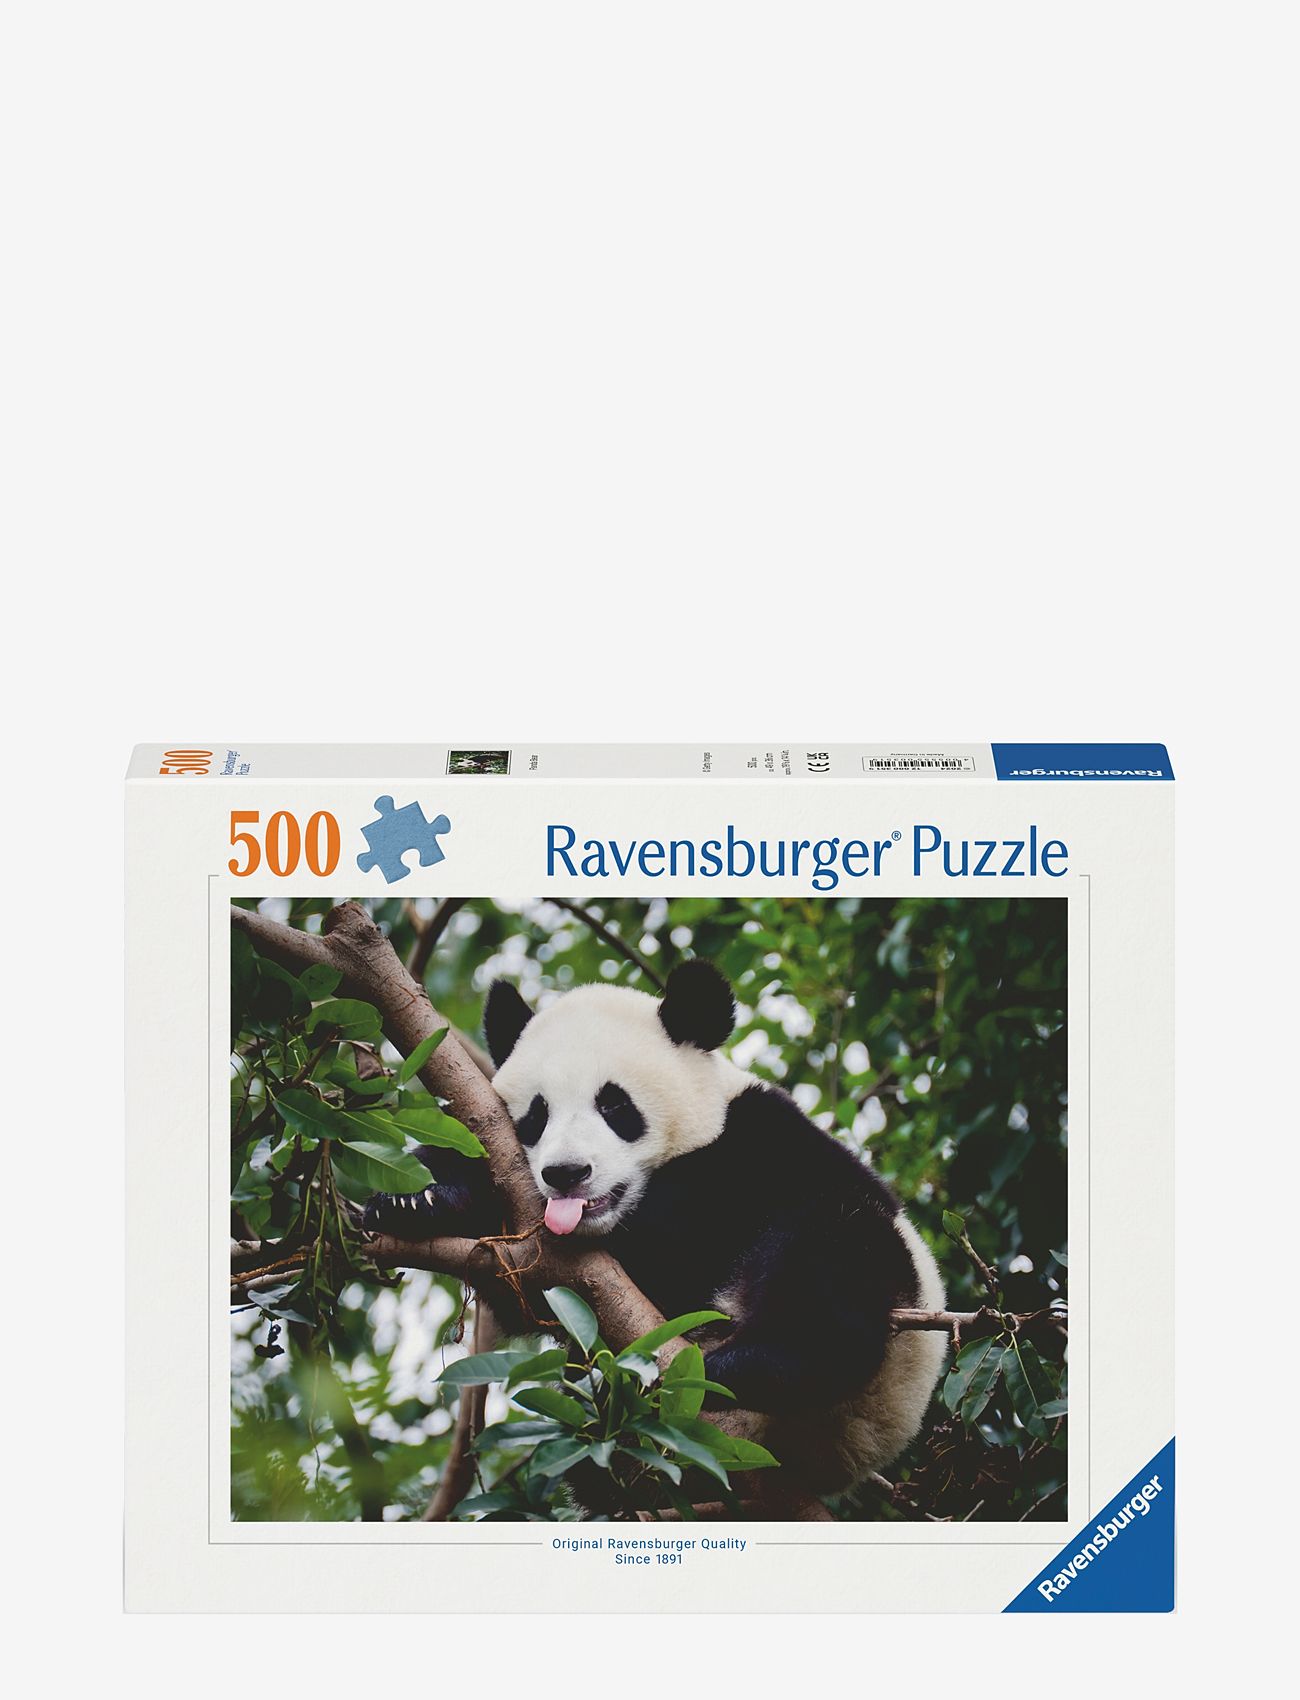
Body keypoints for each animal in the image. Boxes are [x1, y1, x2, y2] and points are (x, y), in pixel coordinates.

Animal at [364, 958, 947, 1495]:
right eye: (536, 1115)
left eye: (614, 1105)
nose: (567, 1173)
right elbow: (521, 1290)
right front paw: (415, 1198)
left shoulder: (759, 1147)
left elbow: (681, 1235)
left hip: (881, 1355)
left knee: (831, 1256)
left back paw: (749, 1365)